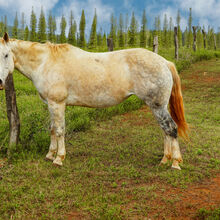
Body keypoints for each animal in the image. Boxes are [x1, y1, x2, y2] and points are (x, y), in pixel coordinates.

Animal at [0, 33, 187, 169]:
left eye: (6, 55)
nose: (0, 83)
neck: (45, 63)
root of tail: (164, 62)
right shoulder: (51, 105)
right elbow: (52, 129)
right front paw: (49, 155)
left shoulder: (57, 104)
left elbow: (59, 130)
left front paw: (59, 158)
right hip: (159, 106)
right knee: (165, 130)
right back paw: (165, 159)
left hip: (157, 106)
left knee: (171, 128)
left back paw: (175, 163)